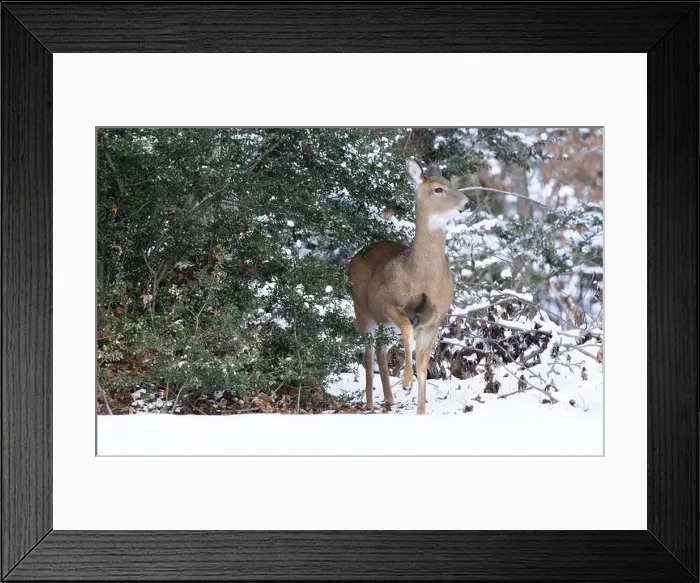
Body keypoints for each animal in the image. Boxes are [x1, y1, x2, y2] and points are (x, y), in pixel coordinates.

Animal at [347, 159, 477, 414]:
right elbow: (407, 329)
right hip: (362, 309)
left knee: (381, 351)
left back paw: (388, 399)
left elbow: (424, 365)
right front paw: (406, 382)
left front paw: (421, 410)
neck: (420, 275)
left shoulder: (435, 318)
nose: (470, 204)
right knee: (368, 354)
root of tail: (353, 259)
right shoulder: (387, 302)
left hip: (384, 324)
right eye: (438, 189)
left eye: (452, 184)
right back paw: (370, 403)